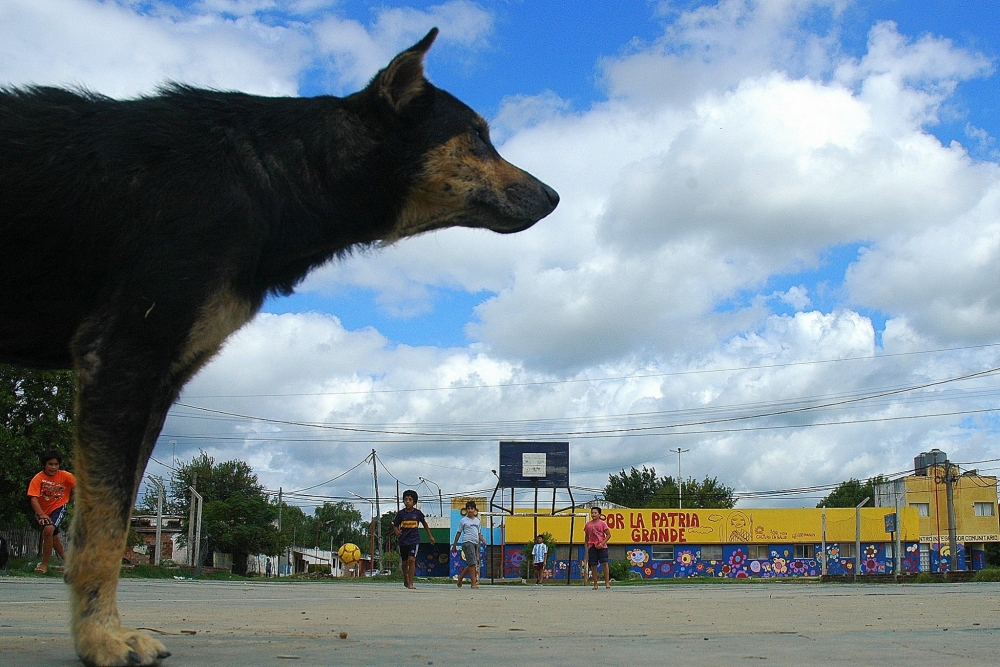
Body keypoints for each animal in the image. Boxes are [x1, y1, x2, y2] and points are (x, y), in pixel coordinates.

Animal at [0, 30, 560, 667]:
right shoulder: (123, 358)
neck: (274, 175)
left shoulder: (155, 379)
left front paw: (100, 630)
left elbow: (110, 523)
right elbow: (101, 531)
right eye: (476, 137)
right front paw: (100, 640)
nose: (555, 196)